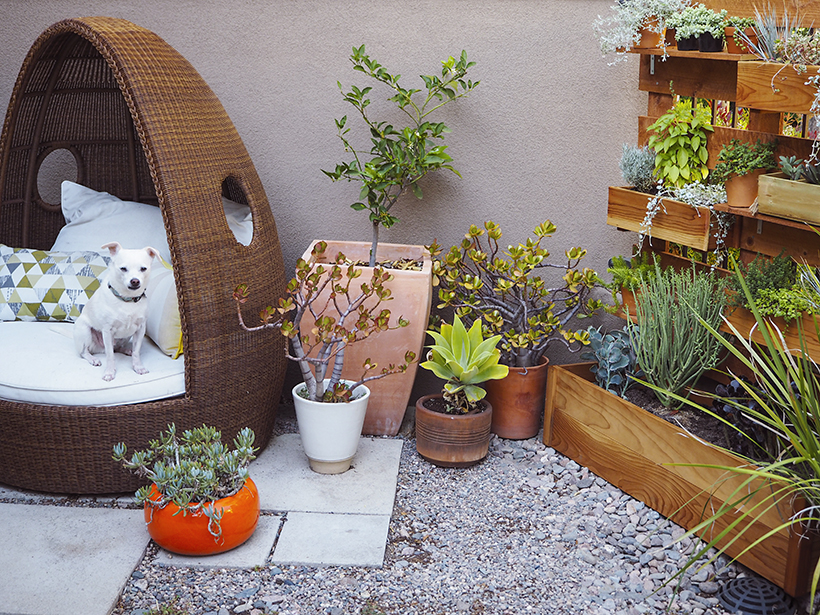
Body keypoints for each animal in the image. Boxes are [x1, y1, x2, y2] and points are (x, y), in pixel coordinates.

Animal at [74, 241, 159, 380]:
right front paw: (109, 372)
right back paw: (93, 359)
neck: (127, 299)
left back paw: (126, 350)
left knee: (117, 348)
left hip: (126, 336)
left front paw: (138, 367)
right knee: (84, 352)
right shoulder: (108, 332)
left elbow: (136, 352)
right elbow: (110, 356)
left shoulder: (140, 330)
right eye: (123, 269)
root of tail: (99, 349)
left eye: (143, 269)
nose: (135, 281)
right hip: (84, 331)